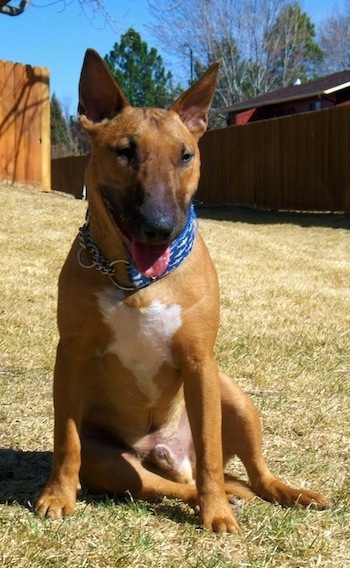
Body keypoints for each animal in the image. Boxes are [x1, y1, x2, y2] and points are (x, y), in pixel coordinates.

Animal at [36, 50, 330, 532]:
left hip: (234, 396)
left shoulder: (199, 362)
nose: (160, 228)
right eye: (125, 151)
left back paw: (280, 493)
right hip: (115, 463)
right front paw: (57, 496)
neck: (136, 280)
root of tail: (172, 458)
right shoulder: (72, 355)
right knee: (164, 484)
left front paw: (216, 516)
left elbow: (211, 448)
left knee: (250, 472)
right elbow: (67, 438)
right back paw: (214, 497)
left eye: (185, 155)